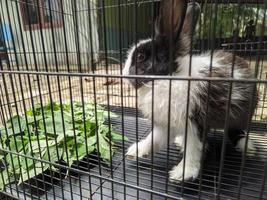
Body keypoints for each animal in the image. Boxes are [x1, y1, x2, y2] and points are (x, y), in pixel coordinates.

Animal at [122, 0, 258, 182]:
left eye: (140, 57)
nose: (123, 73)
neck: (169, 77)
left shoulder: (194, 122)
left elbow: (194, 149)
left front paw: (182, 173)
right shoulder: (165, 123)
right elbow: (154, 139)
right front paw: (135, 151)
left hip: (240, 115)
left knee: (236, 130)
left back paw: (247, 147)